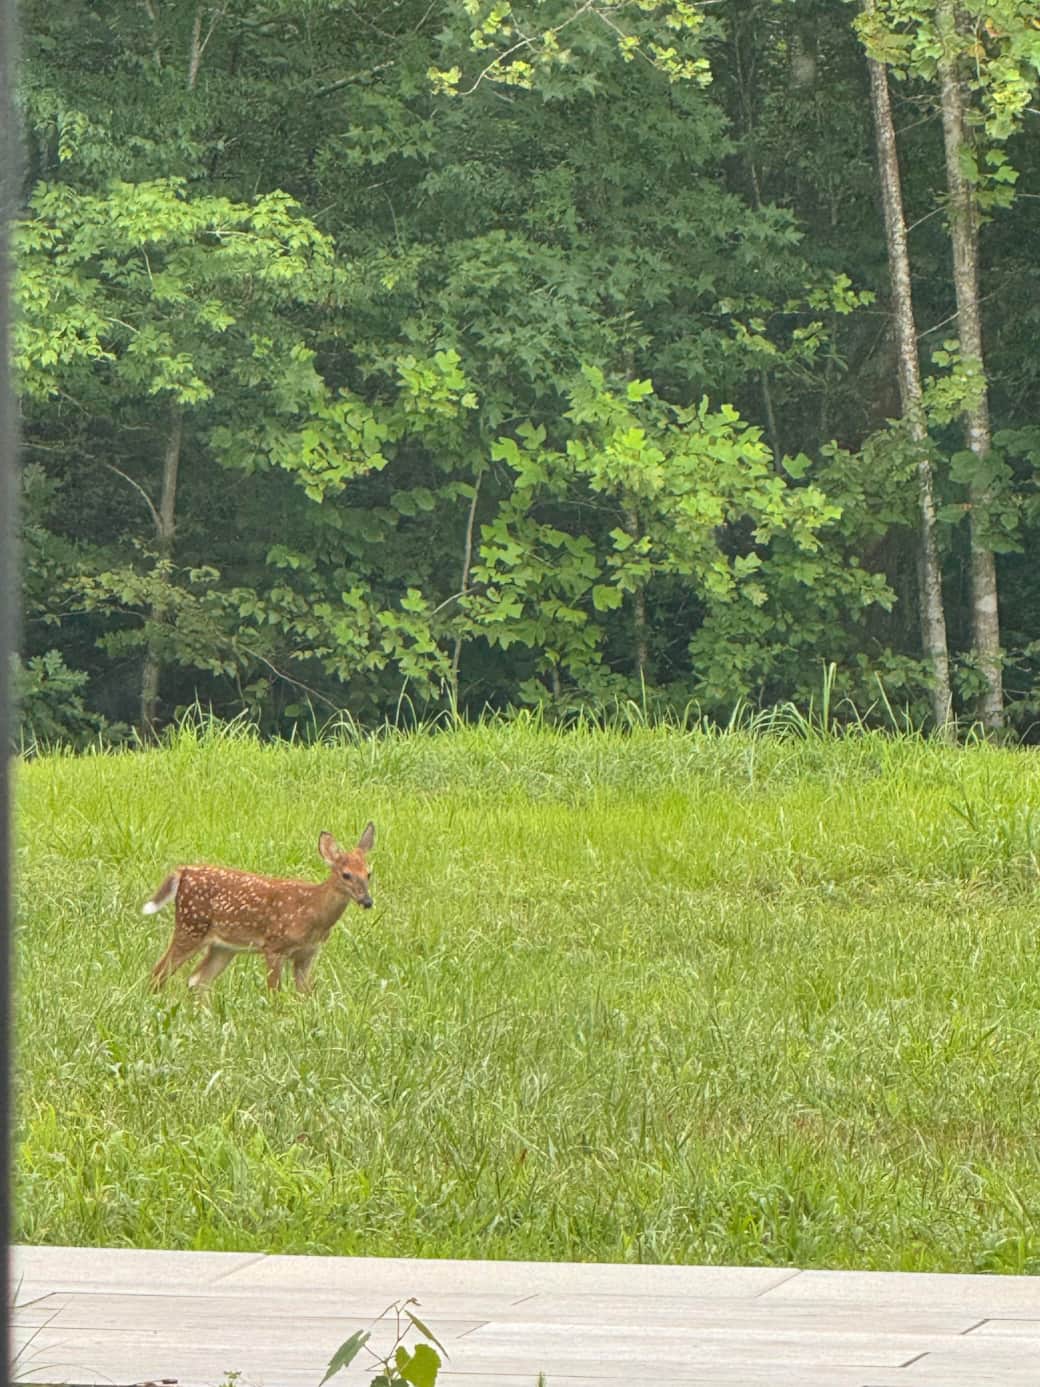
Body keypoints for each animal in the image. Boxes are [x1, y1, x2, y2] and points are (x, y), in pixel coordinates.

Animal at [144, 824, 375, 993]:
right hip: (191, 926)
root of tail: (183, 872)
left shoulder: (307, 955)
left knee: (198, 979)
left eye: (369, 873)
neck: (314, 912)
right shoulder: (274, 946)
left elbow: (306, 996)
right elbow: (274, 993)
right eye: (346, 875)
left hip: (223, 946)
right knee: (159, 972)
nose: (367, 901)